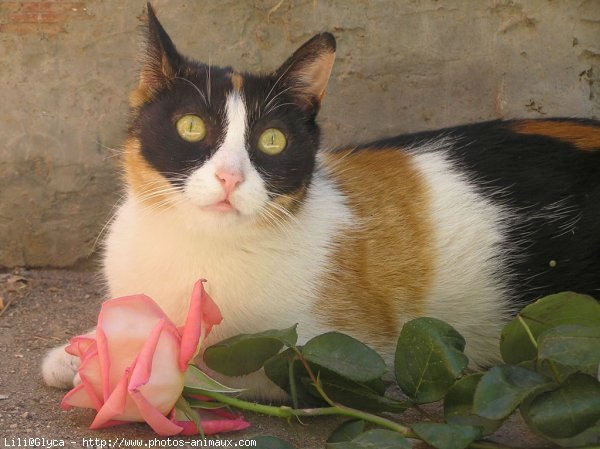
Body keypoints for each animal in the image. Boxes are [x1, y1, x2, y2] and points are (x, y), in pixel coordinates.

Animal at [39, 4, 596, 400]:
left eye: (271, 140)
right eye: (191, 127)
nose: (228, 177)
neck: (197, 250)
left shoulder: (344, 353)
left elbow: (215, 361)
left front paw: (122, 365)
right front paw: (81, 352)